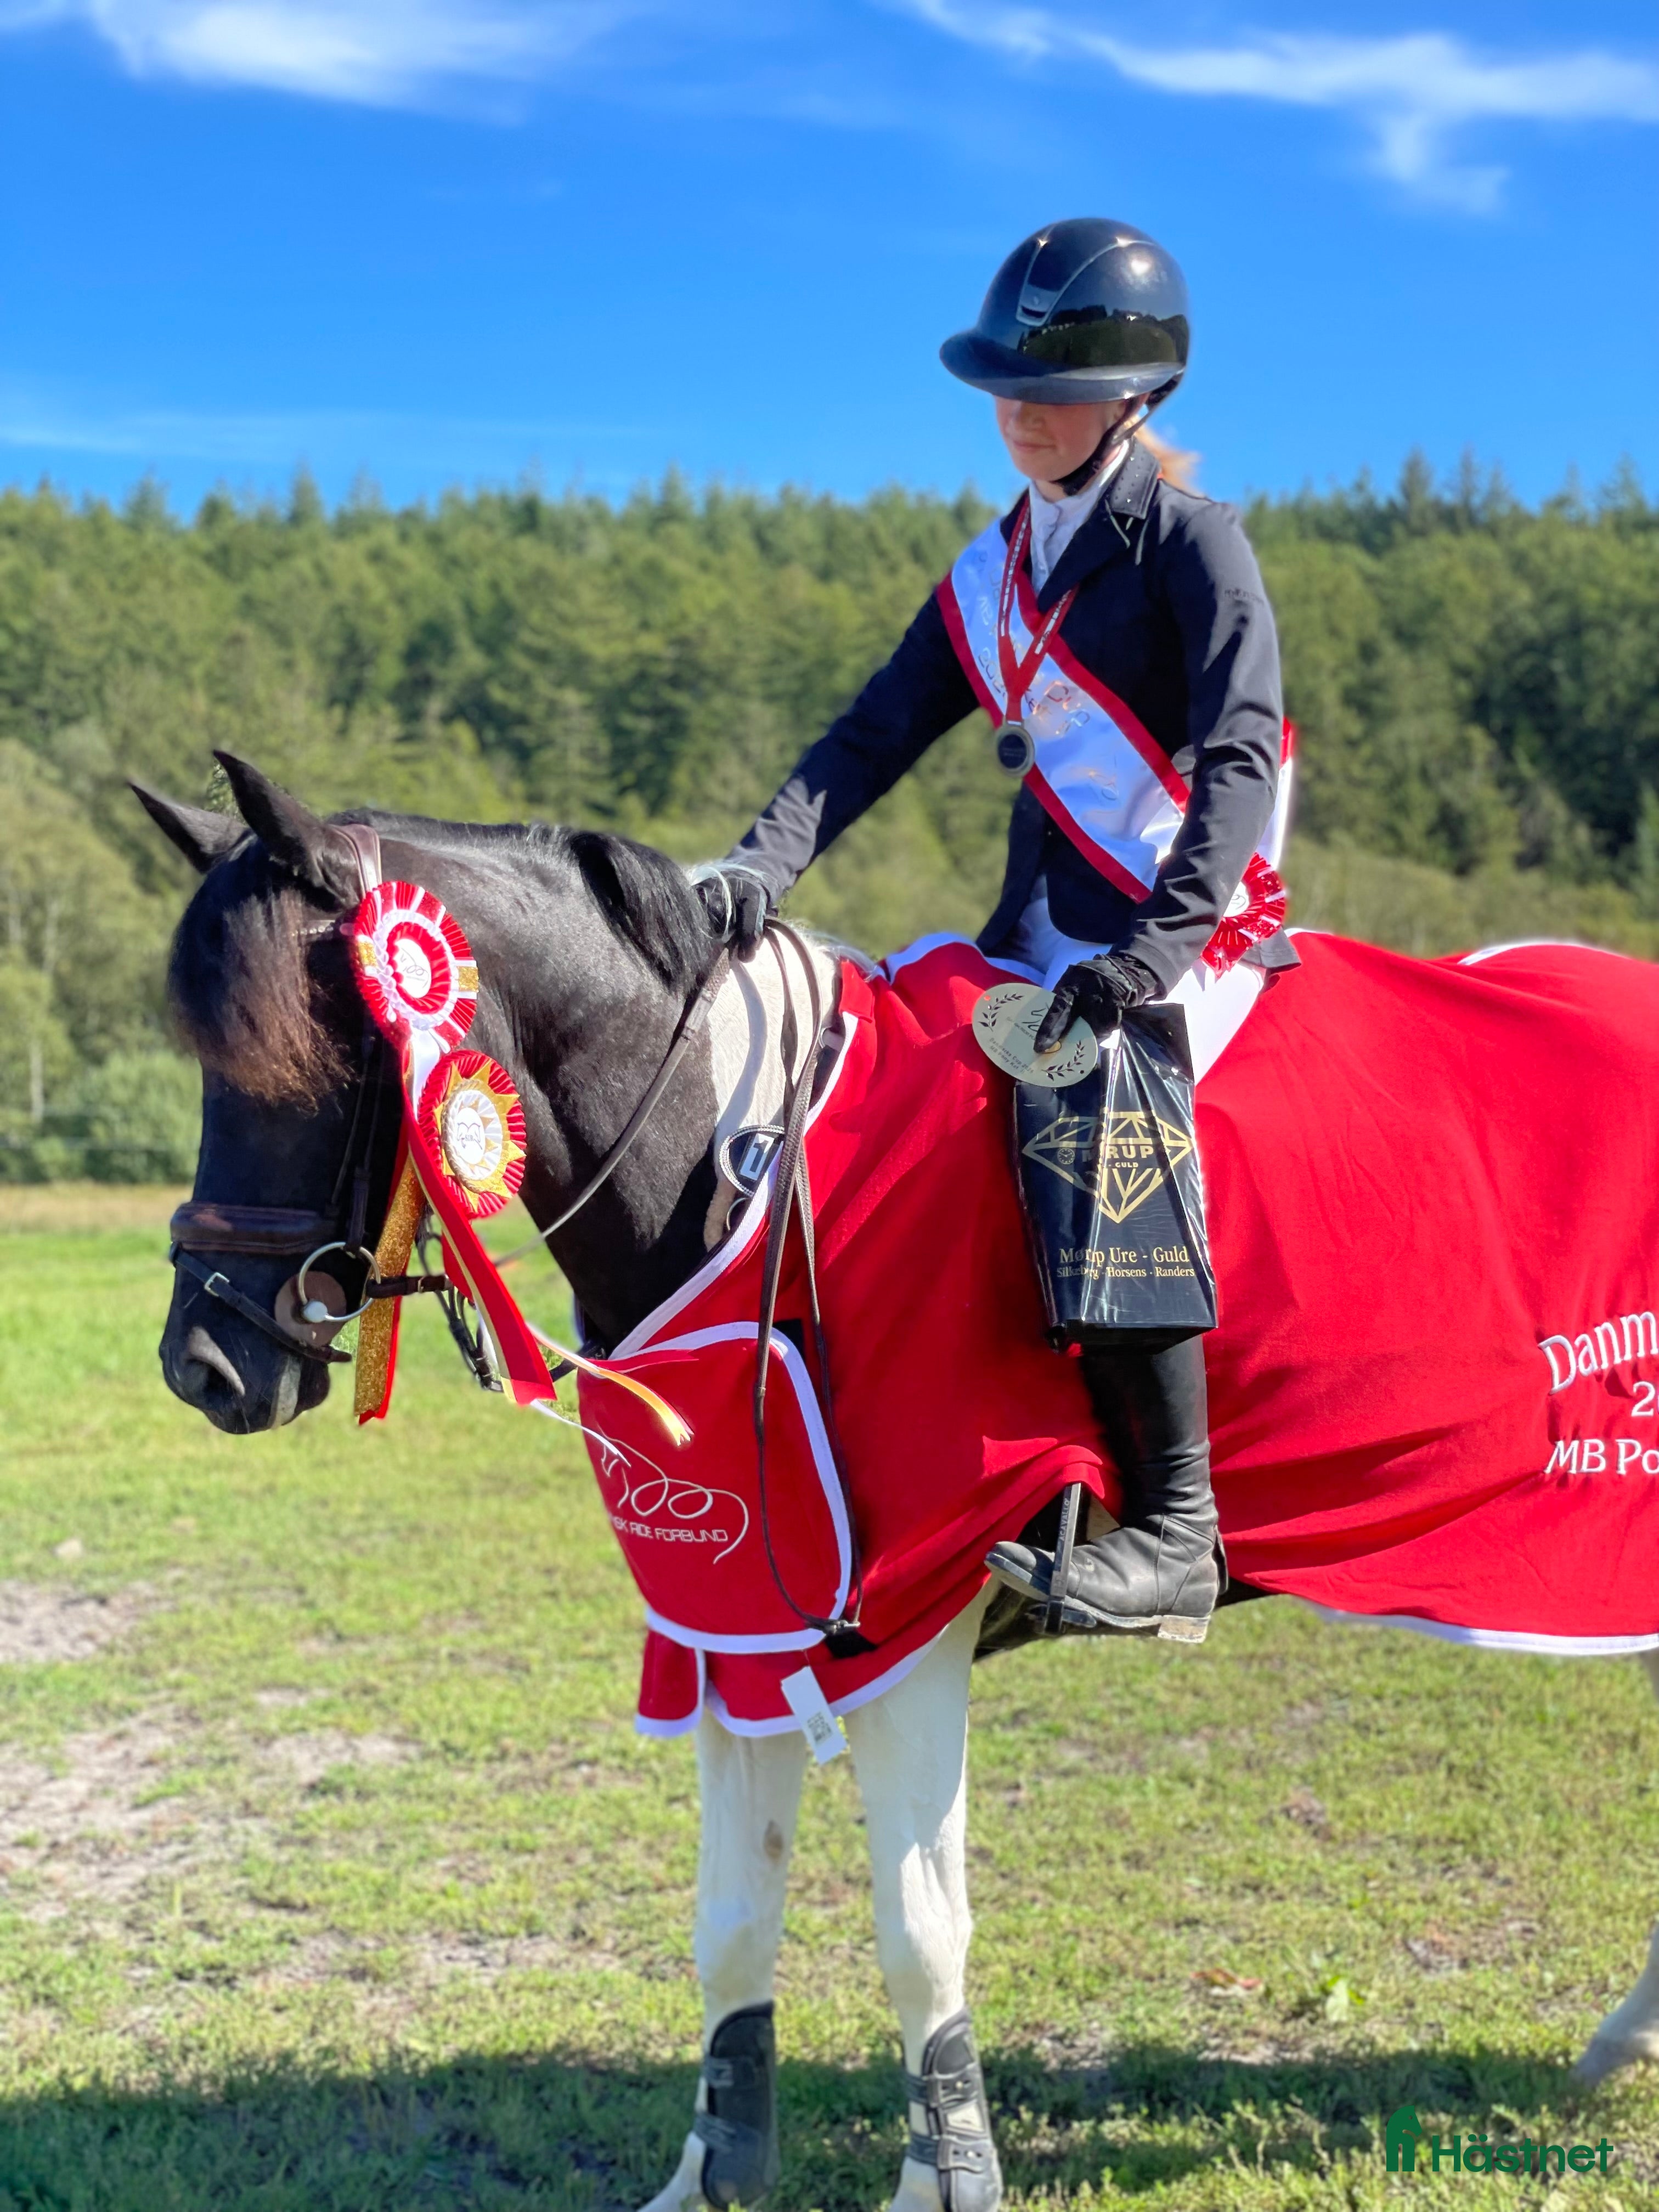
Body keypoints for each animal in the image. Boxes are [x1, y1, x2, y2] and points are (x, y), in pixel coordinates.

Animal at [139, 757, 1659, 2210]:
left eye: (320, 1051)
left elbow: (919, 1932)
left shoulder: (908, 1623)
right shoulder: (739, 1623)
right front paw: (712, 2173)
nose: (203, 1364)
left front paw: (945, 2178)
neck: (745, 1169)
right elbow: (729, 1925)